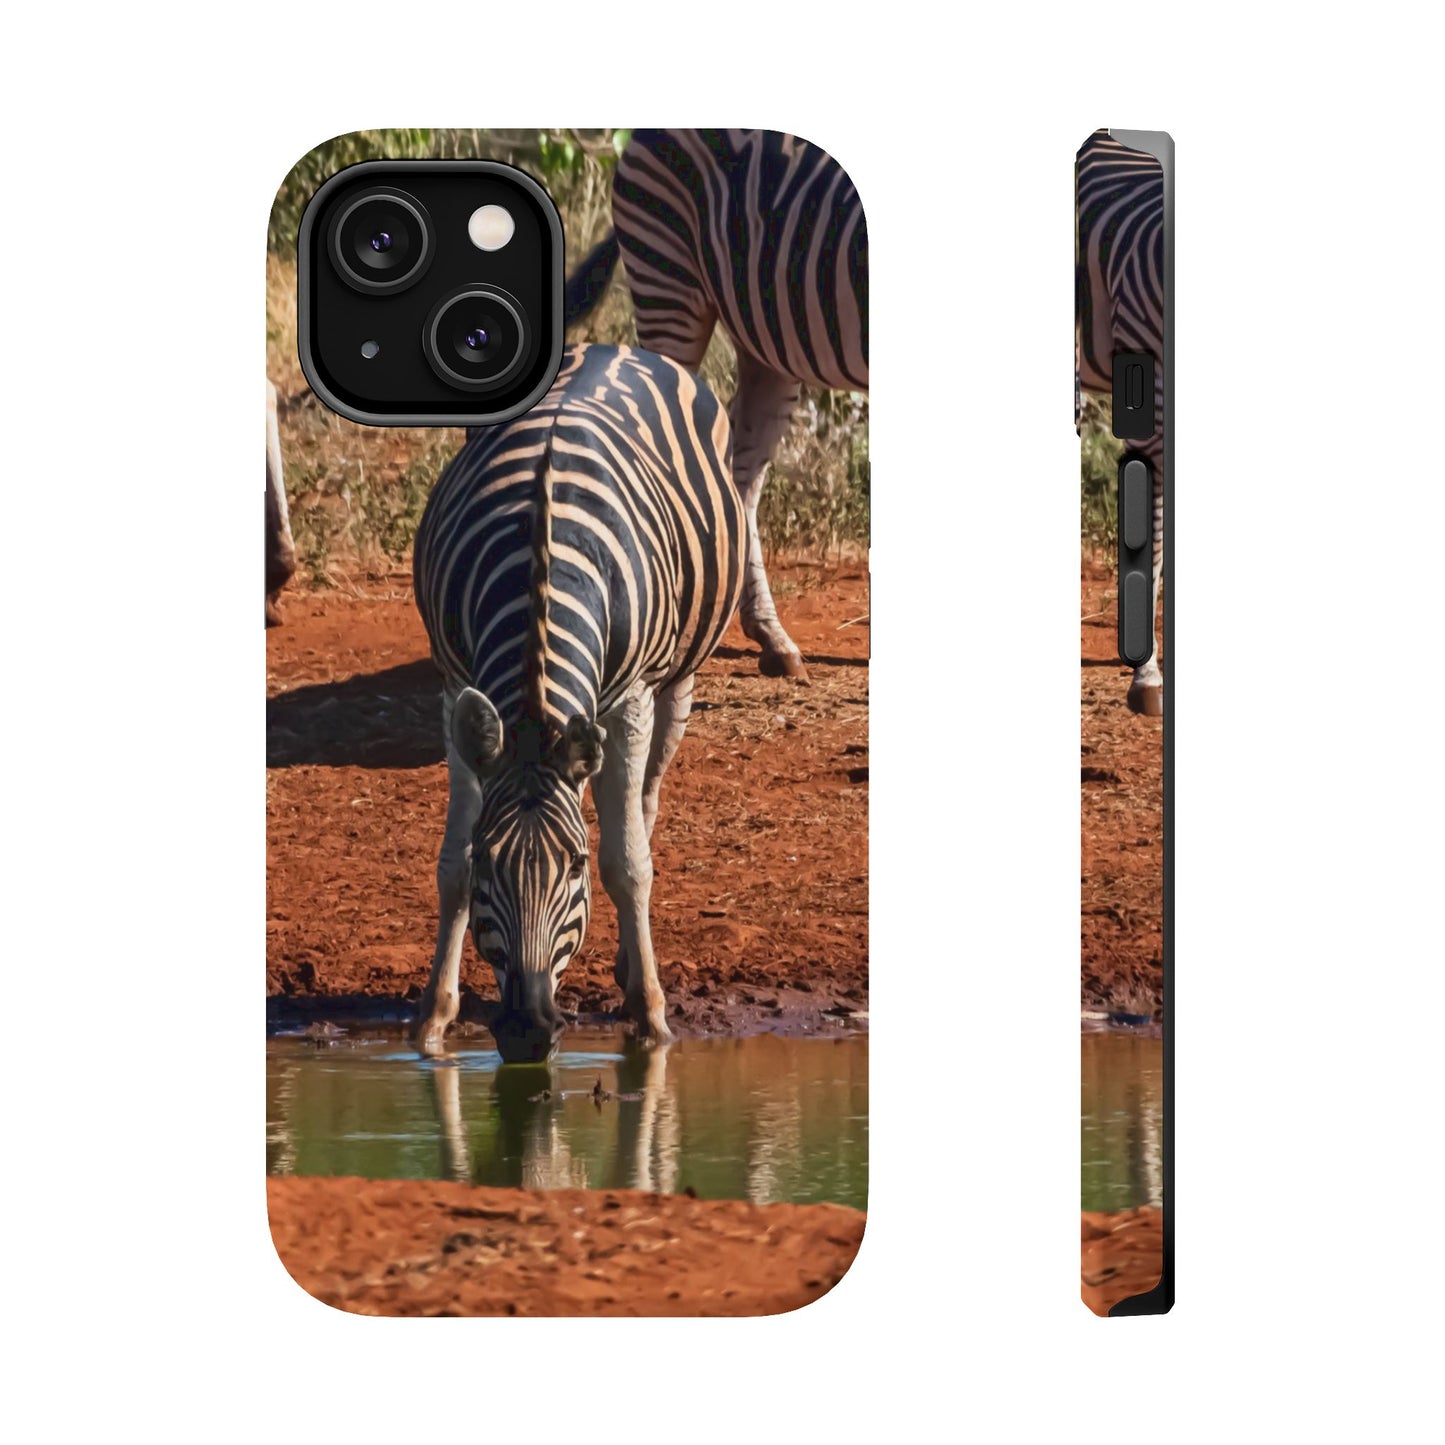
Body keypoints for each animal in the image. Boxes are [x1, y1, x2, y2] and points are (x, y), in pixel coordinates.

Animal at [411, 343, 745, 1060]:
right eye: (491, 861)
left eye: (575, 866)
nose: (527, 1032)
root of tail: (614, 345)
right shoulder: (453, 684)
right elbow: (450, 866)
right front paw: (433, 1018)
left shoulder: (632, 698)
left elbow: (628, 863)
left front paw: (650, 1017)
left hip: (676, 679)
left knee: (644, 803)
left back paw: (630, 967)